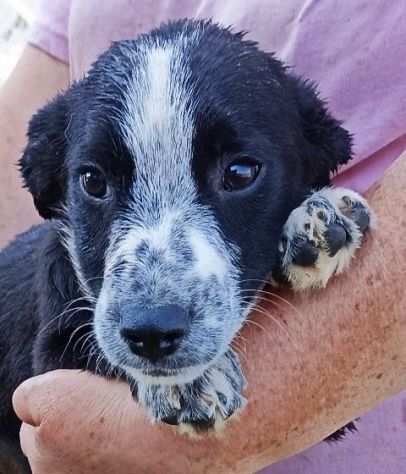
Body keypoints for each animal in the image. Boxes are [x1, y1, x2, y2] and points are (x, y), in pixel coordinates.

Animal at [0, 17, 370, 470]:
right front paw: (190, 381)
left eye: (241, 172)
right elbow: (101, 347)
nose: (151, 333)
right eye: (92, 180)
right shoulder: (53, 353)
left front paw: (317, 218)